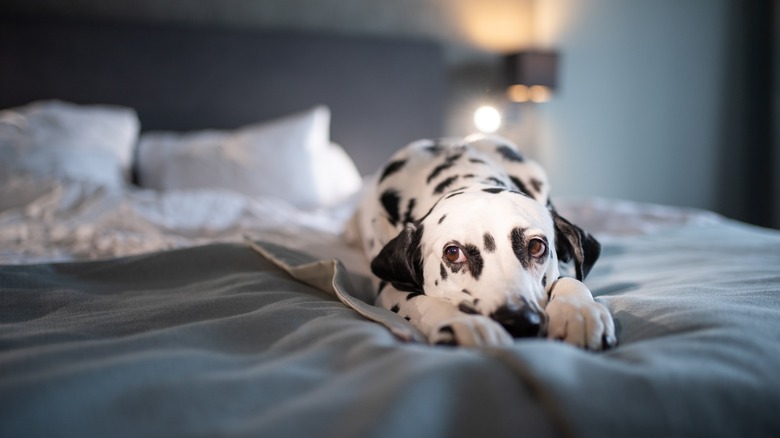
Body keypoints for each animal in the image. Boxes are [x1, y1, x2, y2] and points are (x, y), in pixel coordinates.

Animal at [348, 133, 616, 350]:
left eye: (536, 246)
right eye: (453, 253)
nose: (519, 321)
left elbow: (571, 280)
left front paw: (579, 312)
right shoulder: (387, 288)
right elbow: (420, 301)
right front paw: (467, 323)